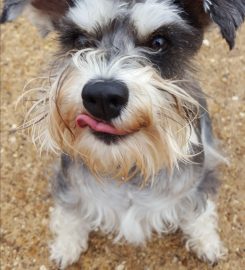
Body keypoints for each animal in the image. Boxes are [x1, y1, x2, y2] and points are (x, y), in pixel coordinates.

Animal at [1, 0, 245, 268]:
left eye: (158, 42)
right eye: (81, 40)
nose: (102, 96)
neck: (127, 166)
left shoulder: (197, 182)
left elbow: (198, 210)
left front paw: (206, 242)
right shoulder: (69, 182)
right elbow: (70, 212)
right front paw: (66, 245)